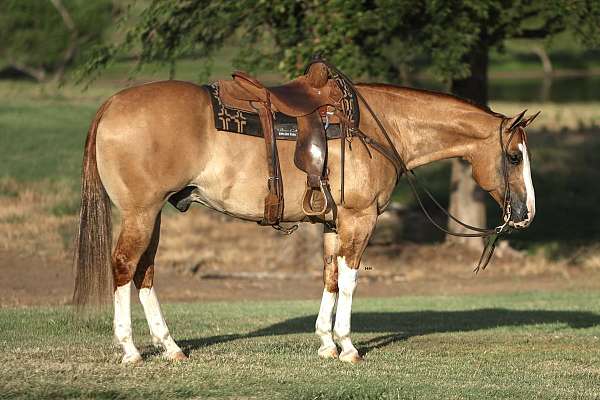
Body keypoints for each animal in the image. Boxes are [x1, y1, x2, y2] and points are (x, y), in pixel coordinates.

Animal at [72, 61, 536, 364]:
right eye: (514, 157)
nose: (527, 213)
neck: (378, 125)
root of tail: (112, 104)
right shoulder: (359, 219)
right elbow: (349, 280)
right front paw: (348, 346)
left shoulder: (333, 223)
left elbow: (330, 278)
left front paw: (326, 342)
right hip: (141, 212)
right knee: (124, 266)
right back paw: (130, 349)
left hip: (152, 215)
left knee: (145, 272)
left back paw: (169, 347)